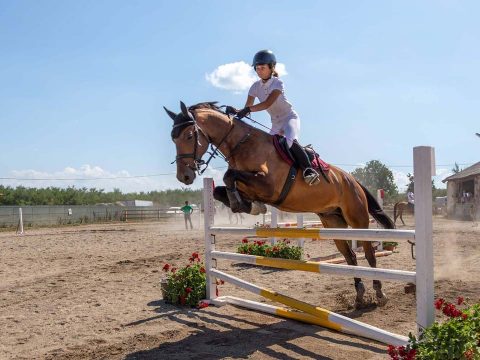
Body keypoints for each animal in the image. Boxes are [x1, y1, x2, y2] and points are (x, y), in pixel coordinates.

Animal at [167, 101, 396, 306]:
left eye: (189, 136)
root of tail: (352, 179)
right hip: (333, 222)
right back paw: (359, 295)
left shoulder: (269, 186)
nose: (184, 176)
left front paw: (247, 204)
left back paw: (379, 294)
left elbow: (229, 175)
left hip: (357, 219)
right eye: (173, 139)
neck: (243, 145)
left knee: (369, 255)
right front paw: (247, 205)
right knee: (351, 257)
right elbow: (220, 187)